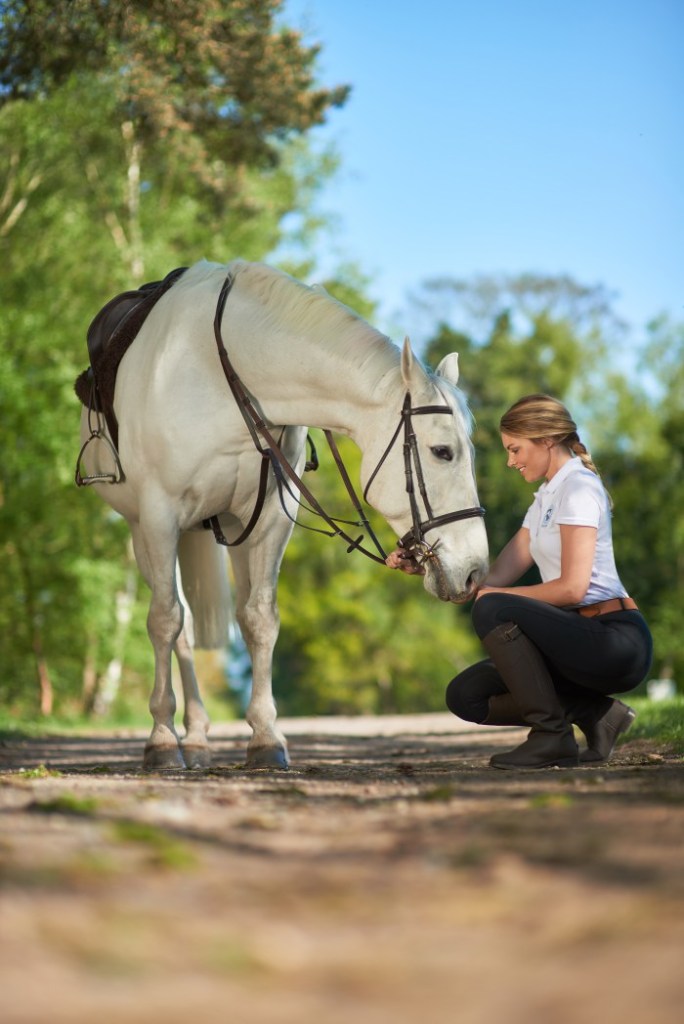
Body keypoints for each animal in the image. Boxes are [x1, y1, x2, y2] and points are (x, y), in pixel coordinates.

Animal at [77, 259, 489, 770]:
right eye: (441, 451)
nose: (476, 571)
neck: (221, 369)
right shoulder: (158, 516)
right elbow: (164, 621)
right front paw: (160, 739)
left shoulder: (273, 517)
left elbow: (260, 618)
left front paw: (265, 737)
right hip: (147, 530)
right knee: (178, 623)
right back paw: (181, 736)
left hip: (224, 529)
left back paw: (198, 737)